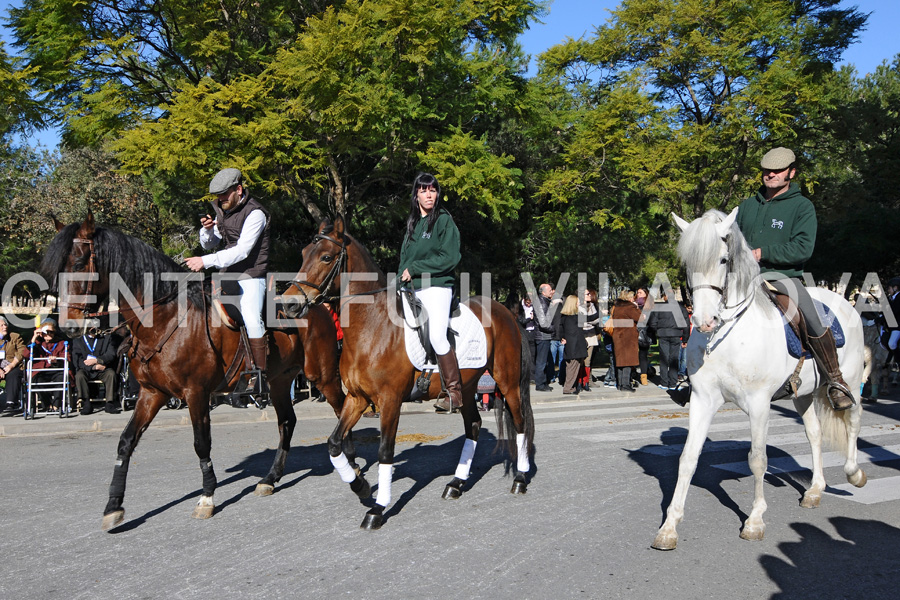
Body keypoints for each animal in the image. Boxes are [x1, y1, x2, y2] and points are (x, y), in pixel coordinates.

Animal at [44, 213, 350, 532]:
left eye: (79, 263)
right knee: (287, 422)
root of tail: (318, 306)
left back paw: (349, 460)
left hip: (323, 377)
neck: (166, 319)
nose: (69, 326)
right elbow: (126, 442)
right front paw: (114, 505)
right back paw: (271, 478)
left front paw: (207, 498)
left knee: (343, 408)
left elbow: (201, 444)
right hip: (279, 381)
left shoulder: (196, 394)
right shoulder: (152, 393)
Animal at [282, 217, 536, 528]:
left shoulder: (390, 401)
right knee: (474, 426)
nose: (288, 303)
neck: (373, 326)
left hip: (508, 383)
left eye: (326, 257)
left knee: (520, 423)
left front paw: (377, 509)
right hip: (466, 387)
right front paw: (360, 485)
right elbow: (333, 444)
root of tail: (506, 313)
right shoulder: (357, 399)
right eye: (304, 253)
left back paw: (520, 479)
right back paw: (456, 484)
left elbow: (385, 451)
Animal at [652, 209, 864, 552]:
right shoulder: (702, 400)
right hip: (803, 395)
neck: (726, 335)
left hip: (852, 380)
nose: (704, 321)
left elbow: (757, 460)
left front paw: (754, 521)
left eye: (724, 259)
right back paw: (815, 489)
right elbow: (688, 458)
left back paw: (854, 473)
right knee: (815, 434)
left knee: (853, 422)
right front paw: (669, 526)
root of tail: (845, 302)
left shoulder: (760, 404)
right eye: (687, 263)